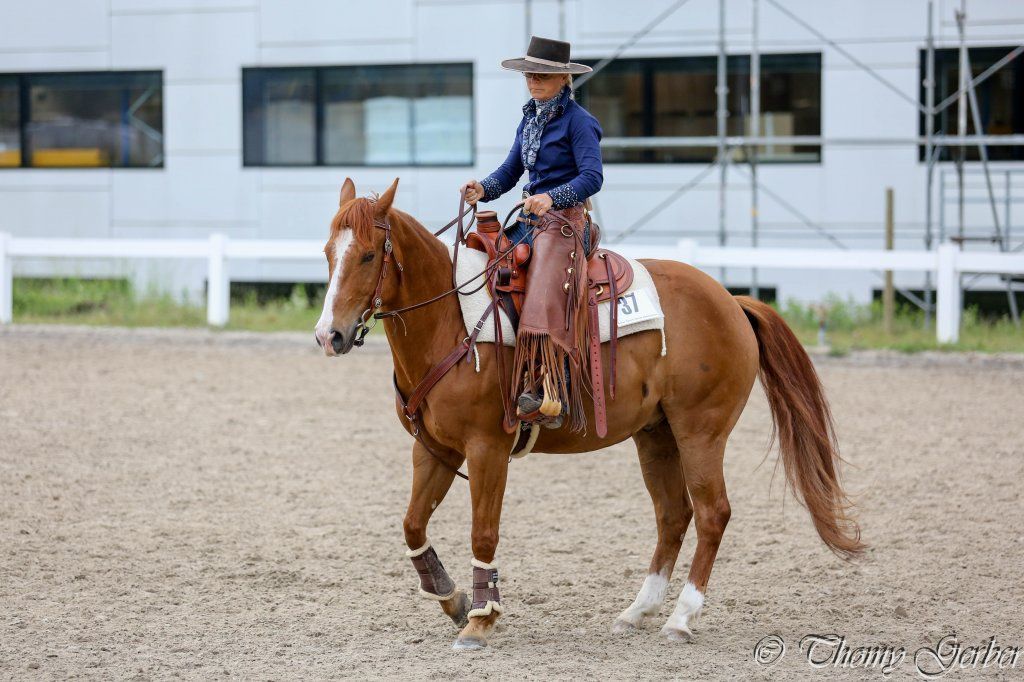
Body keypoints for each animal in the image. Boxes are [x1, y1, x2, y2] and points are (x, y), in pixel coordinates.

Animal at [314, 177, 864, 651]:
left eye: (369, 254)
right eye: (327, 253)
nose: (329, 335)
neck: (451, 320)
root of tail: (731, 300)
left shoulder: (487, 448)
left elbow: (483, 531)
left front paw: (481, 619)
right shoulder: (434, 449)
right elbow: (412, 524)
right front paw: (454, 599)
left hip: (701, 432)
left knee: (713, 514)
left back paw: (681, 618)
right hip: (656, 435)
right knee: (674, 515)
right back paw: (637, 612)